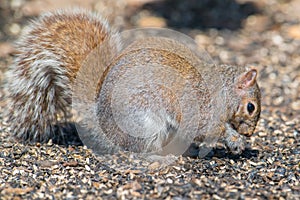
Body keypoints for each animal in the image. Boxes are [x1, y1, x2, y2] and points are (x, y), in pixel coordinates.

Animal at [5, 9, 262, 156]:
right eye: (251, 107)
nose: (249, 133)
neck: (224, 92)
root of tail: (103, 123)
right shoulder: (201, 105)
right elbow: (206, 127)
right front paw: (234, 139)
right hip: (145, 123)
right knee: (140, 150)